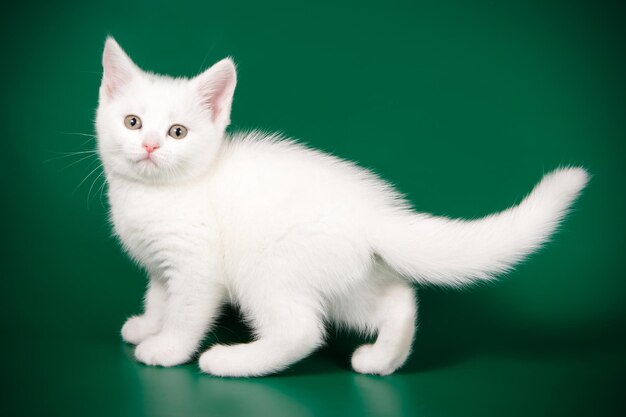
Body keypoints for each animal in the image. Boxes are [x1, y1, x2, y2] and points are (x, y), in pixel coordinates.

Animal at [95, 38, 588, 376]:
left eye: (177, 132)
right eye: (132, 122)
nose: (150, 145)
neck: (155, 193)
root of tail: (376, 214)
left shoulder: (195, 266)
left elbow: (184, 312)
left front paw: (166, 348)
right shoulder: (162, 266)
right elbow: (160, 297)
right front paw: (148, 326)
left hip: (266, 266)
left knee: (301, 331)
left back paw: (232, 362)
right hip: (345, 279)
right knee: (398, 300)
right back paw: (382, 360)